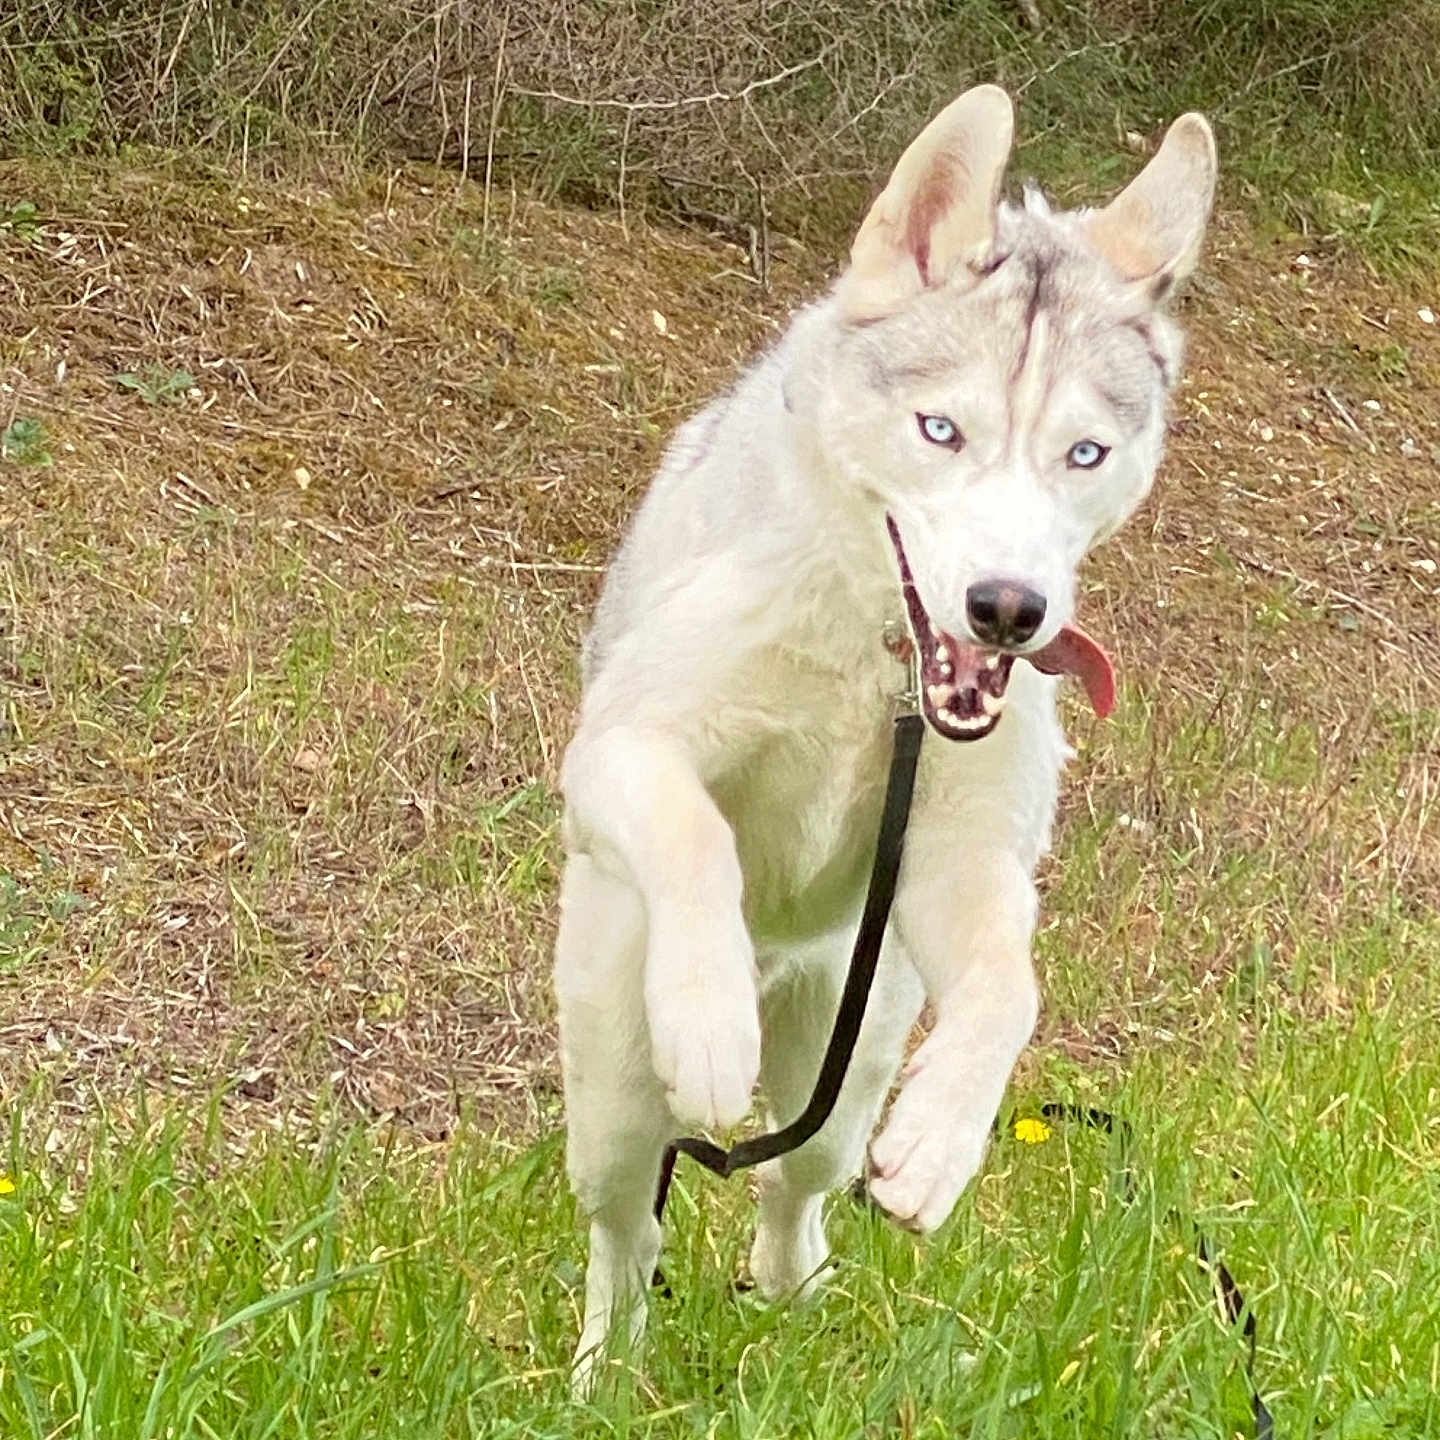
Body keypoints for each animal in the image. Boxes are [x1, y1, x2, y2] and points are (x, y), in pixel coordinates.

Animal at [554, 84, 1216, 1388]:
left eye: (1085, 453)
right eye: (940, 430)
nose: (1008, 609)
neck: (882, 662)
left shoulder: (961, 864)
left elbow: (1010, 988)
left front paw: (942, 1140)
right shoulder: (623, 750)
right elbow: (696, 839)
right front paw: (709, 1015)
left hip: (855, 1035)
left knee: (796, 1180)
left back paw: (796, 1294)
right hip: (609, 1078)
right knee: (628, 1228)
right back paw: (607, 1371)